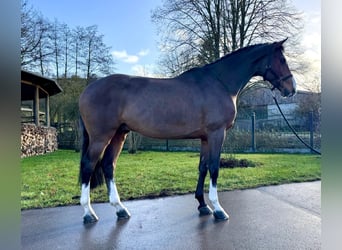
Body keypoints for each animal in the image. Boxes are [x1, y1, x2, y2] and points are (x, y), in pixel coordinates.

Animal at [79, 38, 296, 223]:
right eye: (282, 59)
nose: (292, 88)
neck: (220, 82)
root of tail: (87, 90)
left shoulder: (205, 138)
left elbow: (203, 167)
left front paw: (202, 205)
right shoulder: (217, 134)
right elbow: (214, 168)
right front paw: (218, 210)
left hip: (119, 134)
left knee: (108, 165)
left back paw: (120, 209)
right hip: (101, 137)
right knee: (88, 166)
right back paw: (88, 213)